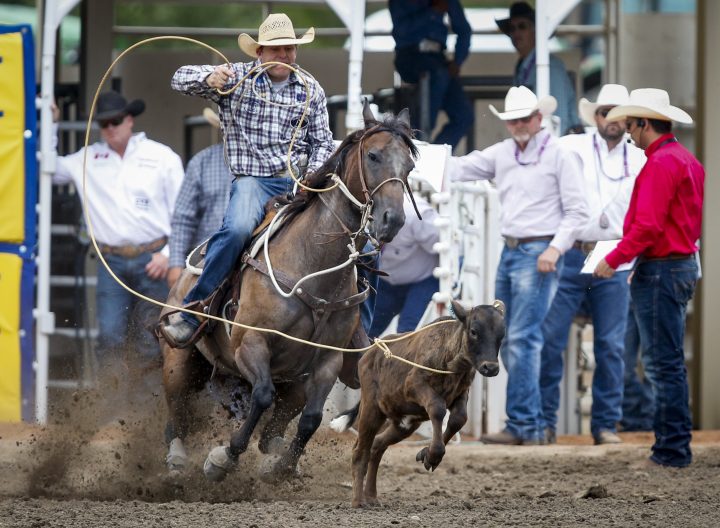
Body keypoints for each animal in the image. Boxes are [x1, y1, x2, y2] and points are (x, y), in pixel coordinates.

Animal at [330, 300, 505, 508]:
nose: (491, 368)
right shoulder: (414, 385)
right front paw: (433, 455)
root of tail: (369, 354)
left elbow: (459, 419)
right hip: (371, 410)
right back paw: (358, 501)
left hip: (404, 424)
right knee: (360, 451)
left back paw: (371, 496)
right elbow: (437, 408)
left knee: (377, 445)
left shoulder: (461, 394)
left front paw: (426, 454)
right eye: (474, 331)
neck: (449, 359)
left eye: (502, 334)